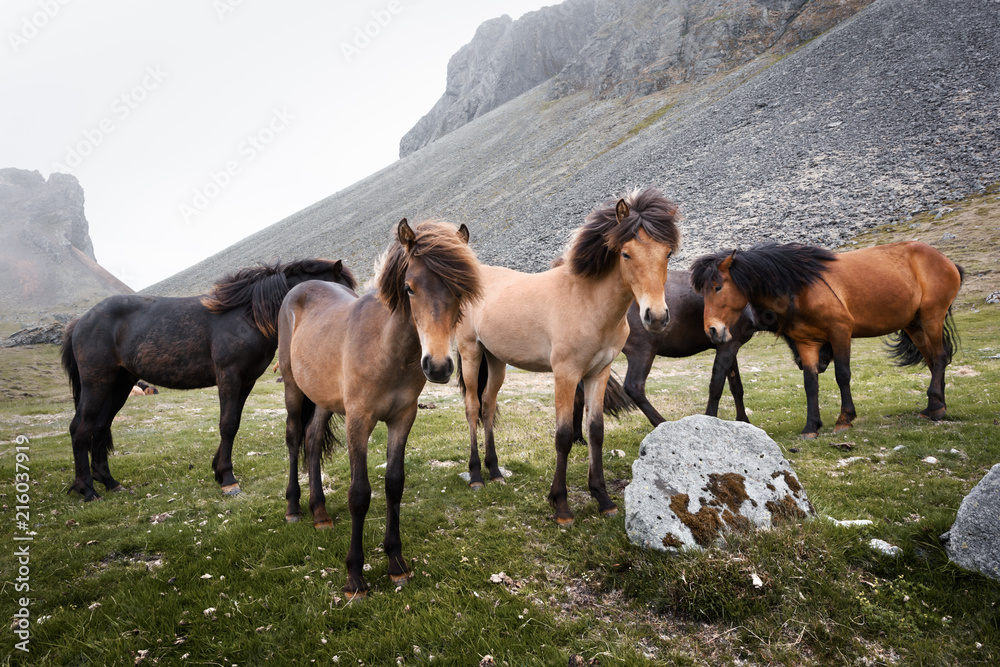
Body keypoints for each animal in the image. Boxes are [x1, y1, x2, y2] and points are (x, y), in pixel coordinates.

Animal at [60, 260, 358, 500]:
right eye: (342, 291)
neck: (247, 316)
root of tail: (81, 321)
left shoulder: (246, 382)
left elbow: (234, 423)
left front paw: (218, 469)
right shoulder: (229, 376)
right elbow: (227, 425)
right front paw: (228, 479)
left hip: (120, 384)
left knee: (100, 427)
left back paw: (110, 482)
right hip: (97, 383)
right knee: (80, 428)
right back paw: (87, 489)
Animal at [280, 219, 482, 600]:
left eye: (460, 290)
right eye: (409, 287)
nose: (438, 366)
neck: (386, 349)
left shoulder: (402, 419)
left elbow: (394, 483)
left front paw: (396, 563)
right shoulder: (358, 421)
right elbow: (359, 493)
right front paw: (354, 577)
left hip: (325, 400)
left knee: (312, 441)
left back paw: (320, 513)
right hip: (293, 389)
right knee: (294, 438)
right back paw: (294, 507)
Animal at [458, 185, 684, 524]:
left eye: (667, 253)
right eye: (626, 253)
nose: (655, 317)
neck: (587, 301)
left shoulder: (598, 373)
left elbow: (596, 431)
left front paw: (603, 499)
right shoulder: (566, 374)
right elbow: (564, 436)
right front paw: (561, 505)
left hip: (496, 360)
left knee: (487, 407)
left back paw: (495, 471)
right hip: (471, 353)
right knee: (473, 408)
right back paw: (475, 476)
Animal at [692, 243, 964, 440]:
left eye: (717, 287)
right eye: (701, 292)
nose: (712, 330)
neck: (801, 287)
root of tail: (945, 260)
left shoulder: (840, 332)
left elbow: (842, 375)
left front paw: (844, 419)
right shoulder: (807, 343)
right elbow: (810, 384)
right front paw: (811, 426)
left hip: (931, 316)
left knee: (940, 357)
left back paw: (936, 406)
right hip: (914, 325)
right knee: (933, 361)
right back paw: (935, 405)